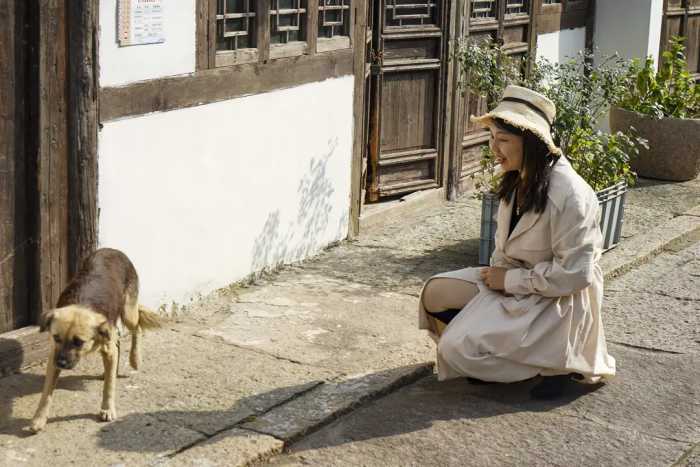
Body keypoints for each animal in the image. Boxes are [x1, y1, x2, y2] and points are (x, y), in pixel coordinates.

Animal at [28, 249, 160, 436]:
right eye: (56, 338)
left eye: (78, 342)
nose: (61, 363)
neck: (82, 305)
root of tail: (113, 250)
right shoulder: (54, 355)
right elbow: (46, 393)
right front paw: (39, 418)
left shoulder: (107, 346)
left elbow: (109, 386)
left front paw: (107, 409)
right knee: (118, 343)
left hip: (128, 313)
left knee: (137, 328)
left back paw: (135, 359)